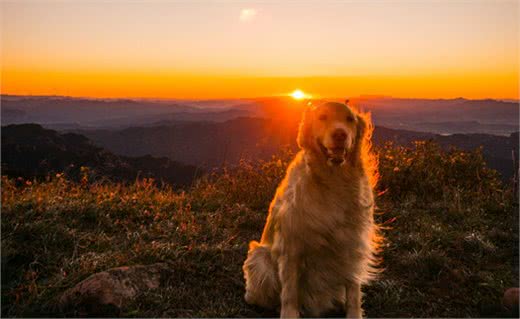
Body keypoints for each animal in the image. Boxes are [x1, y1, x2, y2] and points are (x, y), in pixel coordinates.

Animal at [242, 101, 380, 318]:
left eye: (349, 119)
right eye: (322, 117)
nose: (340, 134)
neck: (333, 180)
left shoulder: (353, 243)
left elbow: (353, 288)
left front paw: (354, 313)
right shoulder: (291, 245)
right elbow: (290, 291)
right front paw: (289, 314)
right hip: (260, 257)